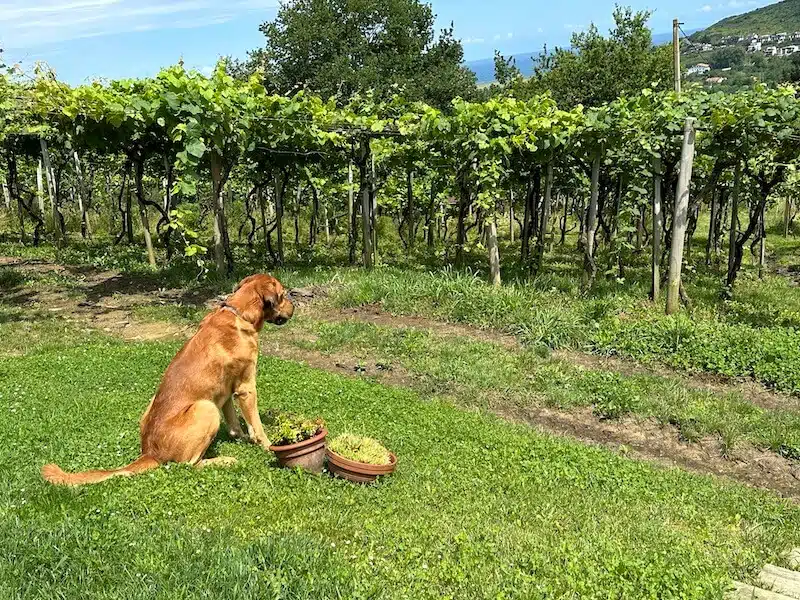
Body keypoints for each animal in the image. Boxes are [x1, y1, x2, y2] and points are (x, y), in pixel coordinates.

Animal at [40, 274, 294, 486]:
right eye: (282, 295)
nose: (295, 305)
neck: (240, 313)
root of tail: (151, 452)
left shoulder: (226, 392)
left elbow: (234, 423)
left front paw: (241, 438)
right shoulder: (246, 387)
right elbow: (257, 426)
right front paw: (266, 445)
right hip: (205, 408)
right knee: (188, 464)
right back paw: (223, 460)